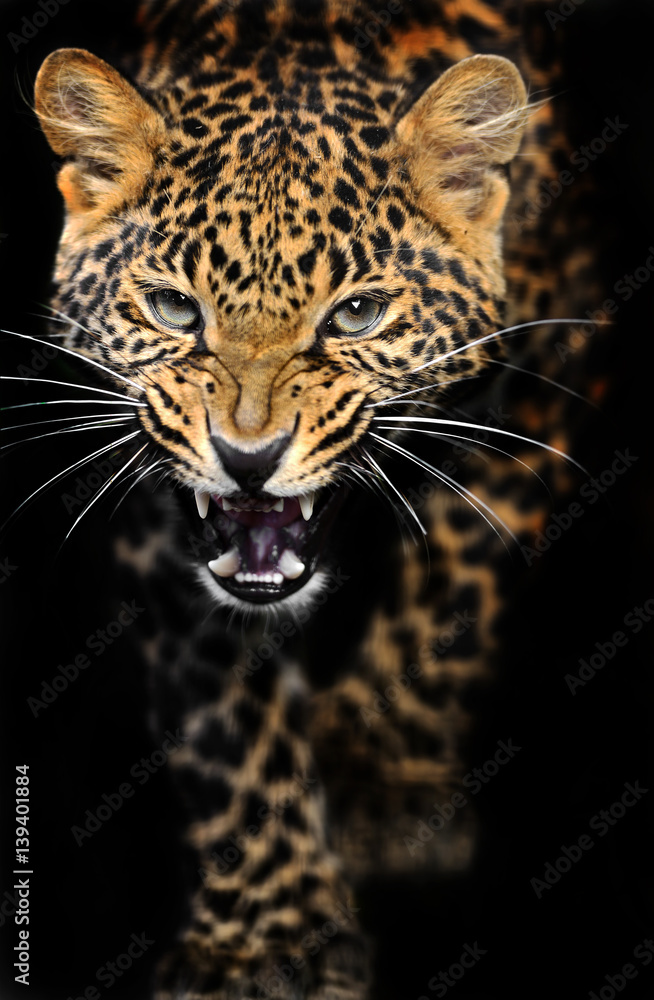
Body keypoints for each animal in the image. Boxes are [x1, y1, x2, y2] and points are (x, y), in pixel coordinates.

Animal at [12, 0, 616, 996]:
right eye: (175, 310)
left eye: (358, 314)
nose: (246, 458)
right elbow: (227, 708)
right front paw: (270, 934)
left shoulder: (550, 368)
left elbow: (453, 592)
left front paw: (378, 781)